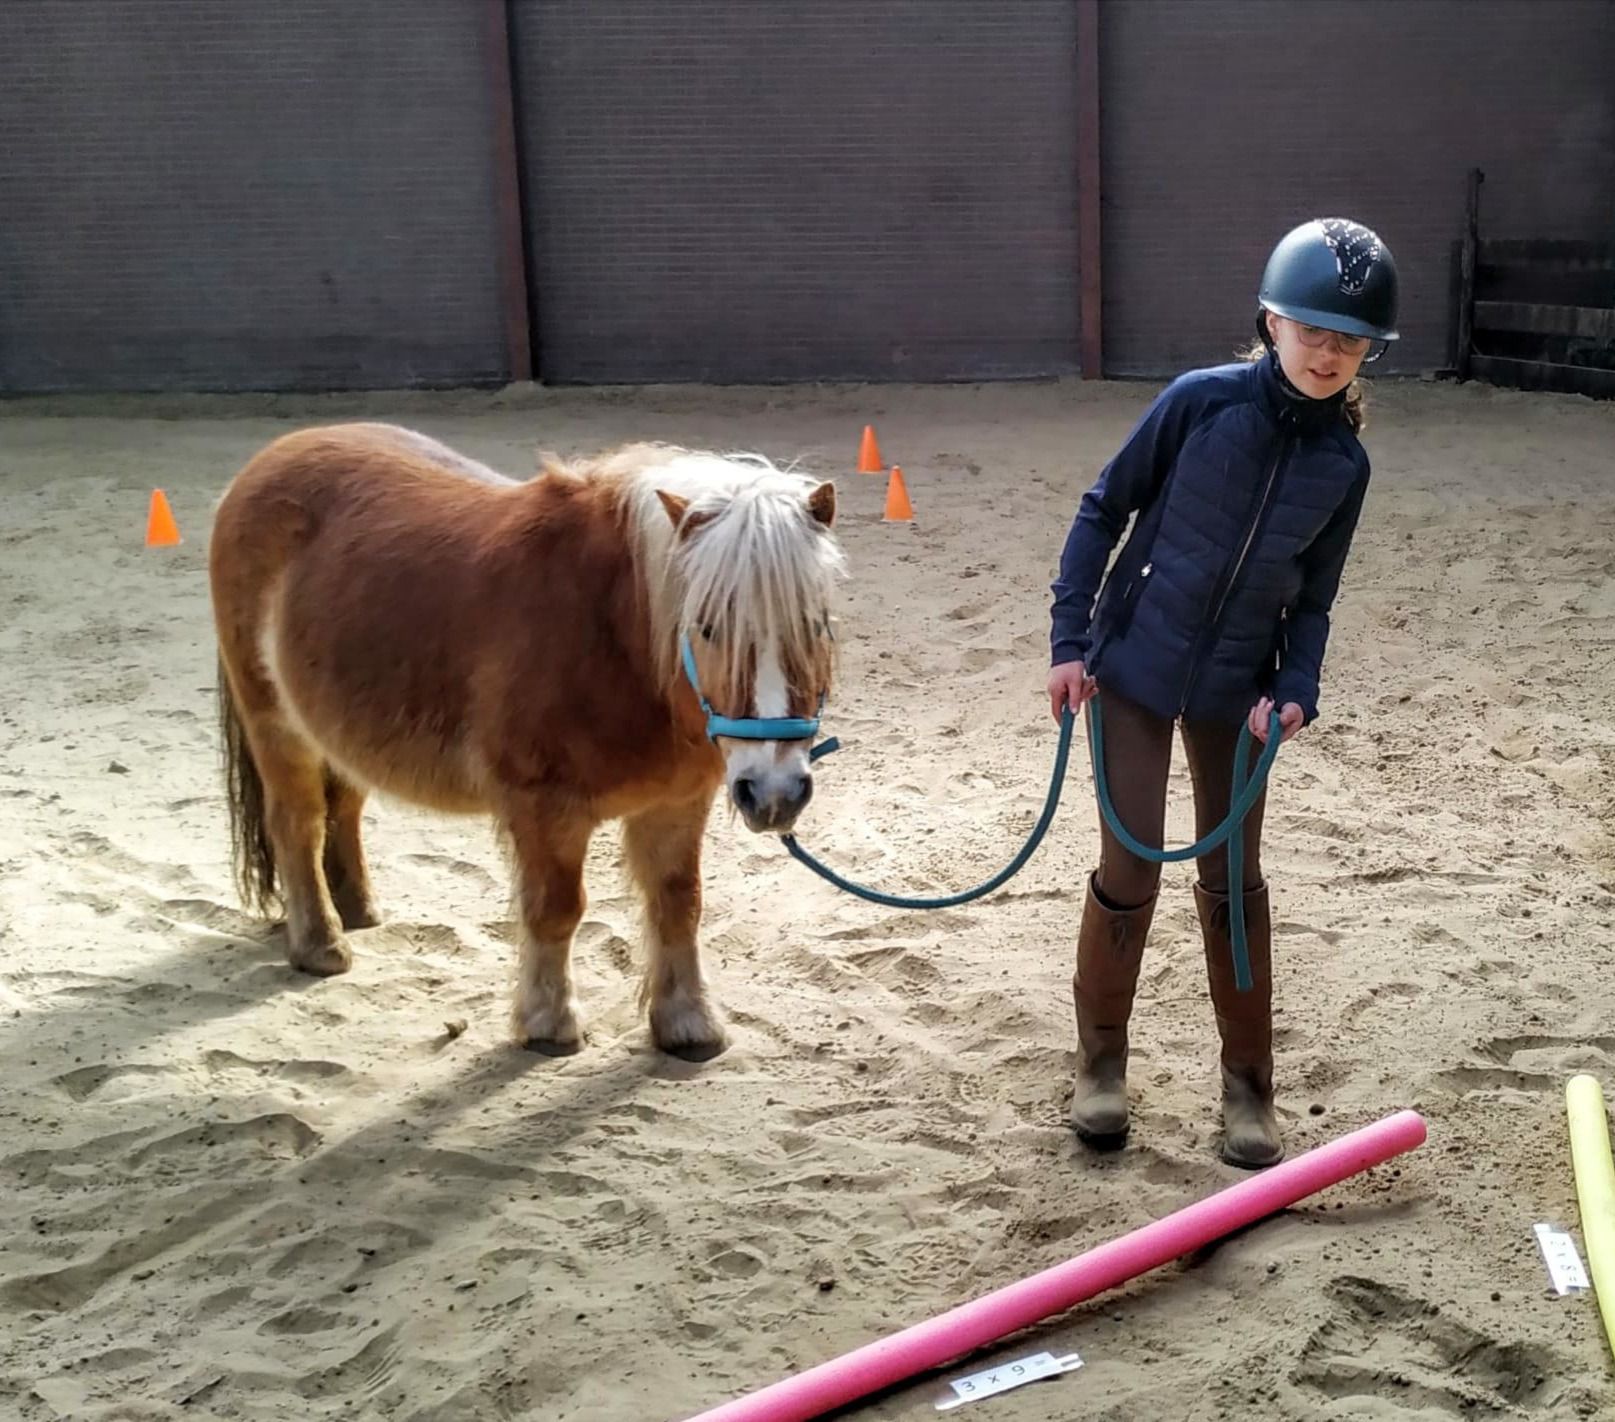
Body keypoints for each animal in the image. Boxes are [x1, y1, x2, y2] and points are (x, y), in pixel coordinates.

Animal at [208, 422, 844, 1057]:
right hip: (277, 726)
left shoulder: (677, 803)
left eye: (815, 624)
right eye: (707, 627)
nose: (775, 794)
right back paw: (322, 944)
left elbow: (678, 902)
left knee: (345, 808)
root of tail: (275, 455)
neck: (612, 635)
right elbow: (556, 910)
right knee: (298, 824)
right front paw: (548, 1021)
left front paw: (688, 1022)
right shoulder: (544, 807)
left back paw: (359, 909)